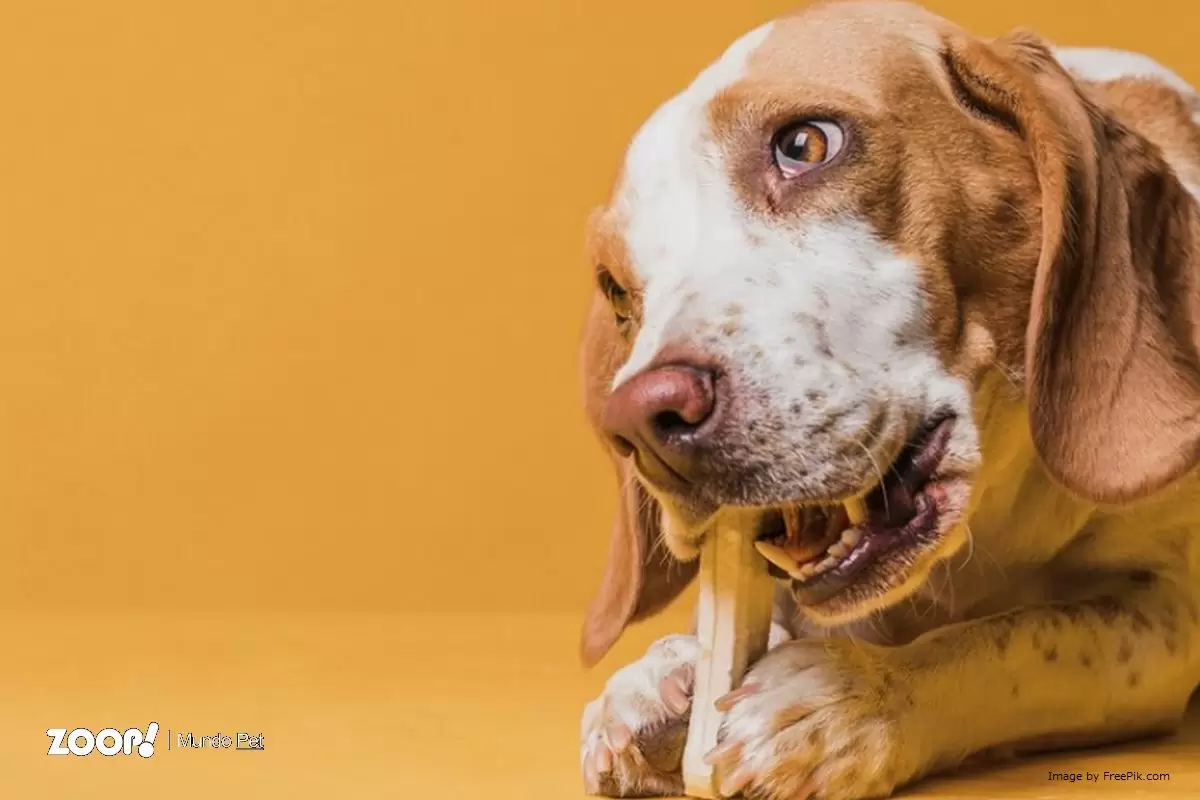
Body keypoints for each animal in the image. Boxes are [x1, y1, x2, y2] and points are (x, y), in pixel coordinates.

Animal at [576, 3, 1200, 796]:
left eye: (805, 144)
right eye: (617, 289)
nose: (641, 423)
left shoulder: (1169, 616)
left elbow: (1022, 640)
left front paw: (860, 698)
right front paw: (659, 679)